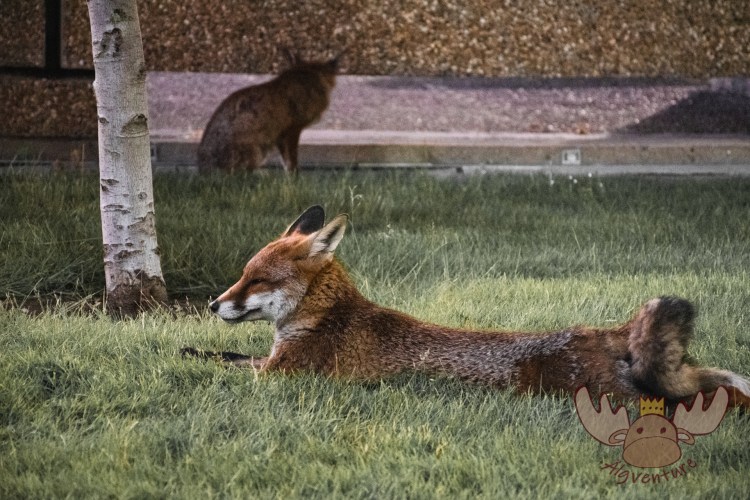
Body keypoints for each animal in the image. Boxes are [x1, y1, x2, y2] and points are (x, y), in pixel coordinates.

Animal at [182, 205, 750, 409]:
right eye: (241, 275)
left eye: (255, 280)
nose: (212, 303)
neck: (325, 318)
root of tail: (600, 330)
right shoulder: (270, 364)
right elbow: (222, 355)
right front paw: (189, 350)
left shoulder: (282, 374)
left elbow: (226, 365)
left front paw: (190, 359)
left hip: (615, 396)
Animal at [197, 52, 340, 173]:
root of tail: (204, 170)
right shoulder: (293, 130)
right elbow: (292, 160)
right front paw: (295, 178)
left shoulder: (280, 135)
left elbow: (286, 162)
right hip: (255, 152)